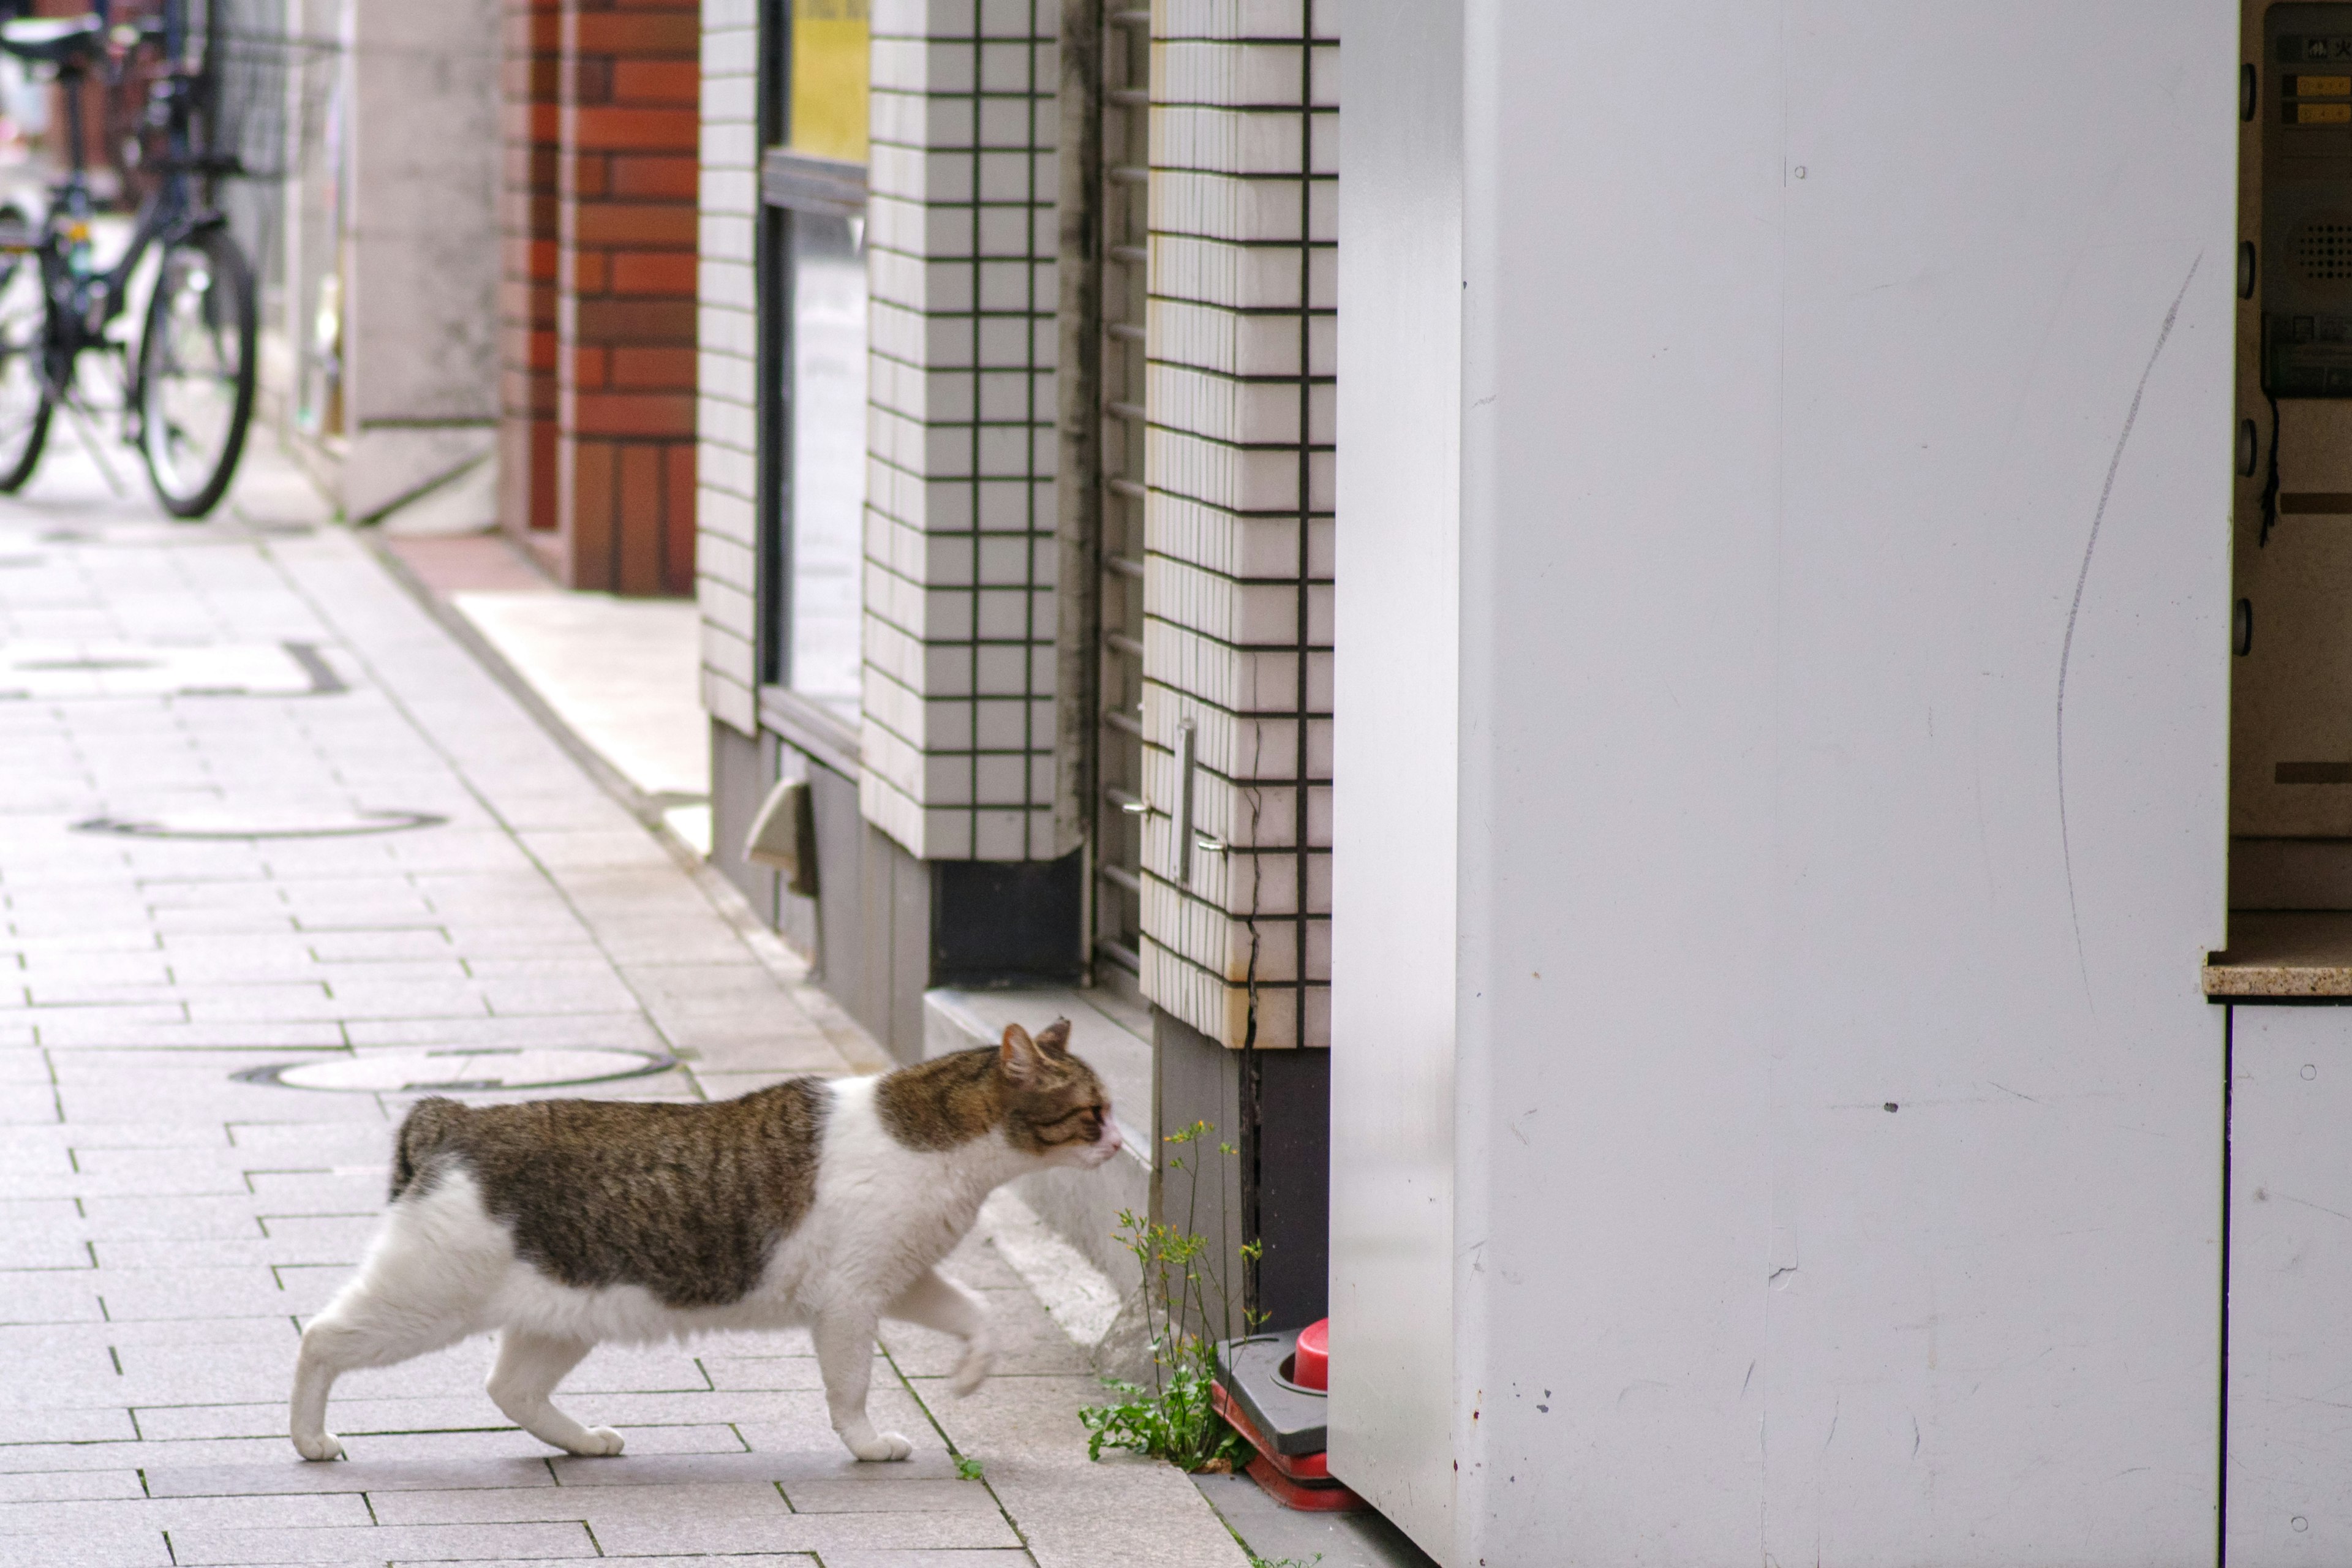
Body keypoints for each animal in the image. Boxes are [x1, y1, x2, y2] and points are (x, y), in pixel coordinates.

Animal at [287, 1025, 1119, 1466]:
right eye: (1093, 1112)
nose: (1119, 1144)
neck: (944, 1144)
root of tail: (451, 1113)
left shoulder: (900, 1277)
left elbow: (980, 1315)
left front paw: (973, 1372)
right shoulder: (849, 1302)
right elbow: (850, 1391)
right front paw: (866, 1444)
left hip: (561, 1315)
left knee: (511, 1389)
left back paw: (584, 1442)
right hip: (424, 1301)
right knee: (320, 1338)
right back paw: (309, 1438)